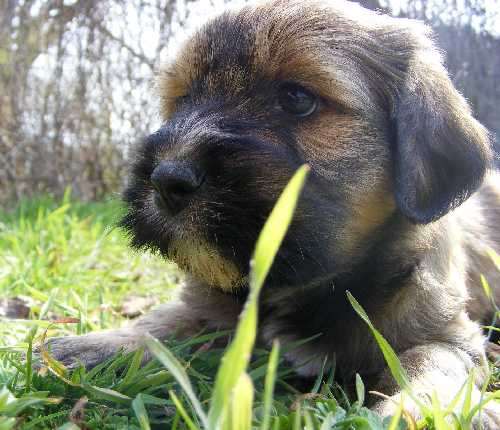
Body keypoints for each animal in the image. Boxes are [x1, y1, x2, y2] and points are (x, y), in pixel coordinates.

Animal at [46, 0, 500, 424]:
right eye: (183, 99)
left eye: (297, 99)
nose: (166, 179)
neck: (302, 285)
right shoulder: (208, 309)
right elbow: (163, 323)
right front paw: (94, 346)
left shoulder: (447, 335)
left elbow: (428, 364)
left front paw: (415, 410)